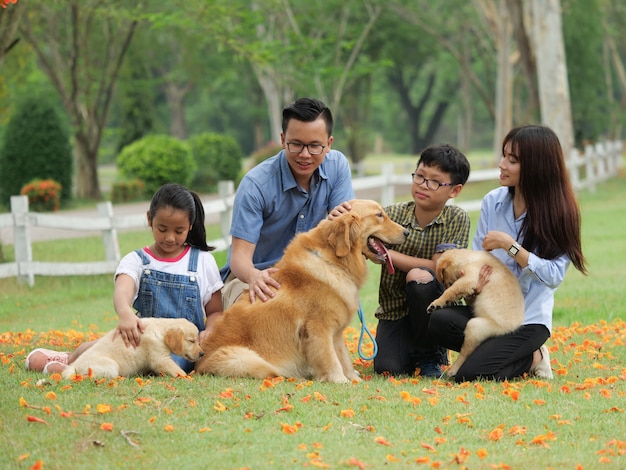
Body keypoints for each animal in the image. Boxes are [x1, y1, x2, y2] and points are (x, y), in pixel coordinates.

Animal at [61, 318, 202, 380]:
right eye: (192, 341)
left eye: (197, 340)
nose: (202, 353)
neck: (160, 330)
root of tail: (73, 366)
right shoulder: (160, 358)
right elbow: (177, 370)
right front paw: (187, 376)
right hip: (110, 366)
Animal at [195, 200, 408, 384]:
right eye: (379, 215)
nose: (407, 232)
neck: (332, 261)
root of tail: (197, 365)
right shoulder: (318, 329)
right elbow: (330, 359)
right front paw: (340, 381)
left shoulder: (336, 332)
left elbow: (343, 357)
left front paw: (353, 379)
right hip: (247, 359)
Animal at [426, 248, 524, 376]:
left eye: (446, 281)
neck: (468, 258)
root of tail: (512, 329)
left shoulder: (469, 278)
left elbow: (451, 291)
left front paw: (436, 303)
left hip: (475, 326)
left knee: (465, 353)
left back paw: (453, 371)